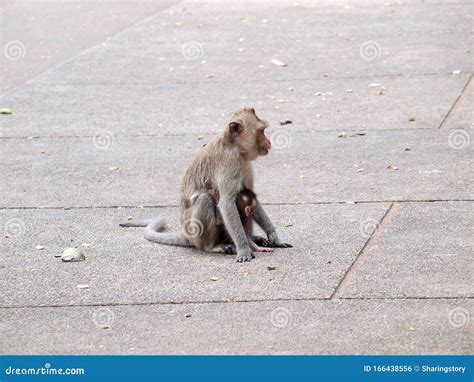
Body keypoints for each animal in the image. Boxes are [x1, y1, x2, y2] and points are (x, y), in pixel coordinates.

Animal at [120, 107, 290, 262]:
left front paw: (274, 237)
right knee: (205, 199)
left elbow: (250, 195)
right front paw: (243, 249)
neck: (235, 147)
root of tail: (186, 234)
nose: (268, 142)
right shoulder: (229, 162)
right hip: (194, 231)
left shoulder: (245, 163)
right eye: (261, 130)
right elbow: (227, 202)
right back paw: (213, 246)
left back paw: (252, 238)